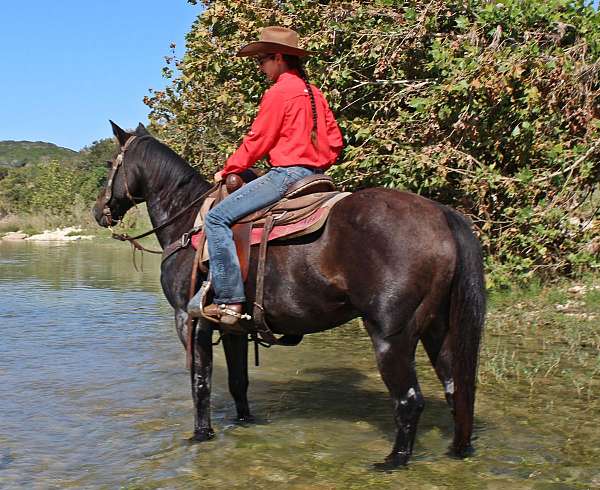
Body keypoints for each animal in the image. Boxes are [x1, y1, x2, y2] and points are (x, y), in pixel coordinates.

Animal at [94, 121, 488, 468]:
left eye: (111, 165)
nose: (98, 211)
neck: (188, 222)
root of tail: (441, 214)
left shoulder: (190, 323)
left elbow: (200, 383)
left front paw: (201, 435)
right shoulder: (234, 328)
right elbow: (238, 382)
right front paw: (243, 423)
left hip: (391, 336)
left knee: (409, 400)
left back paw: (393, 461)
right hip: (438, 330)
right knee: (456, 387)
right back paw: (458, 450)